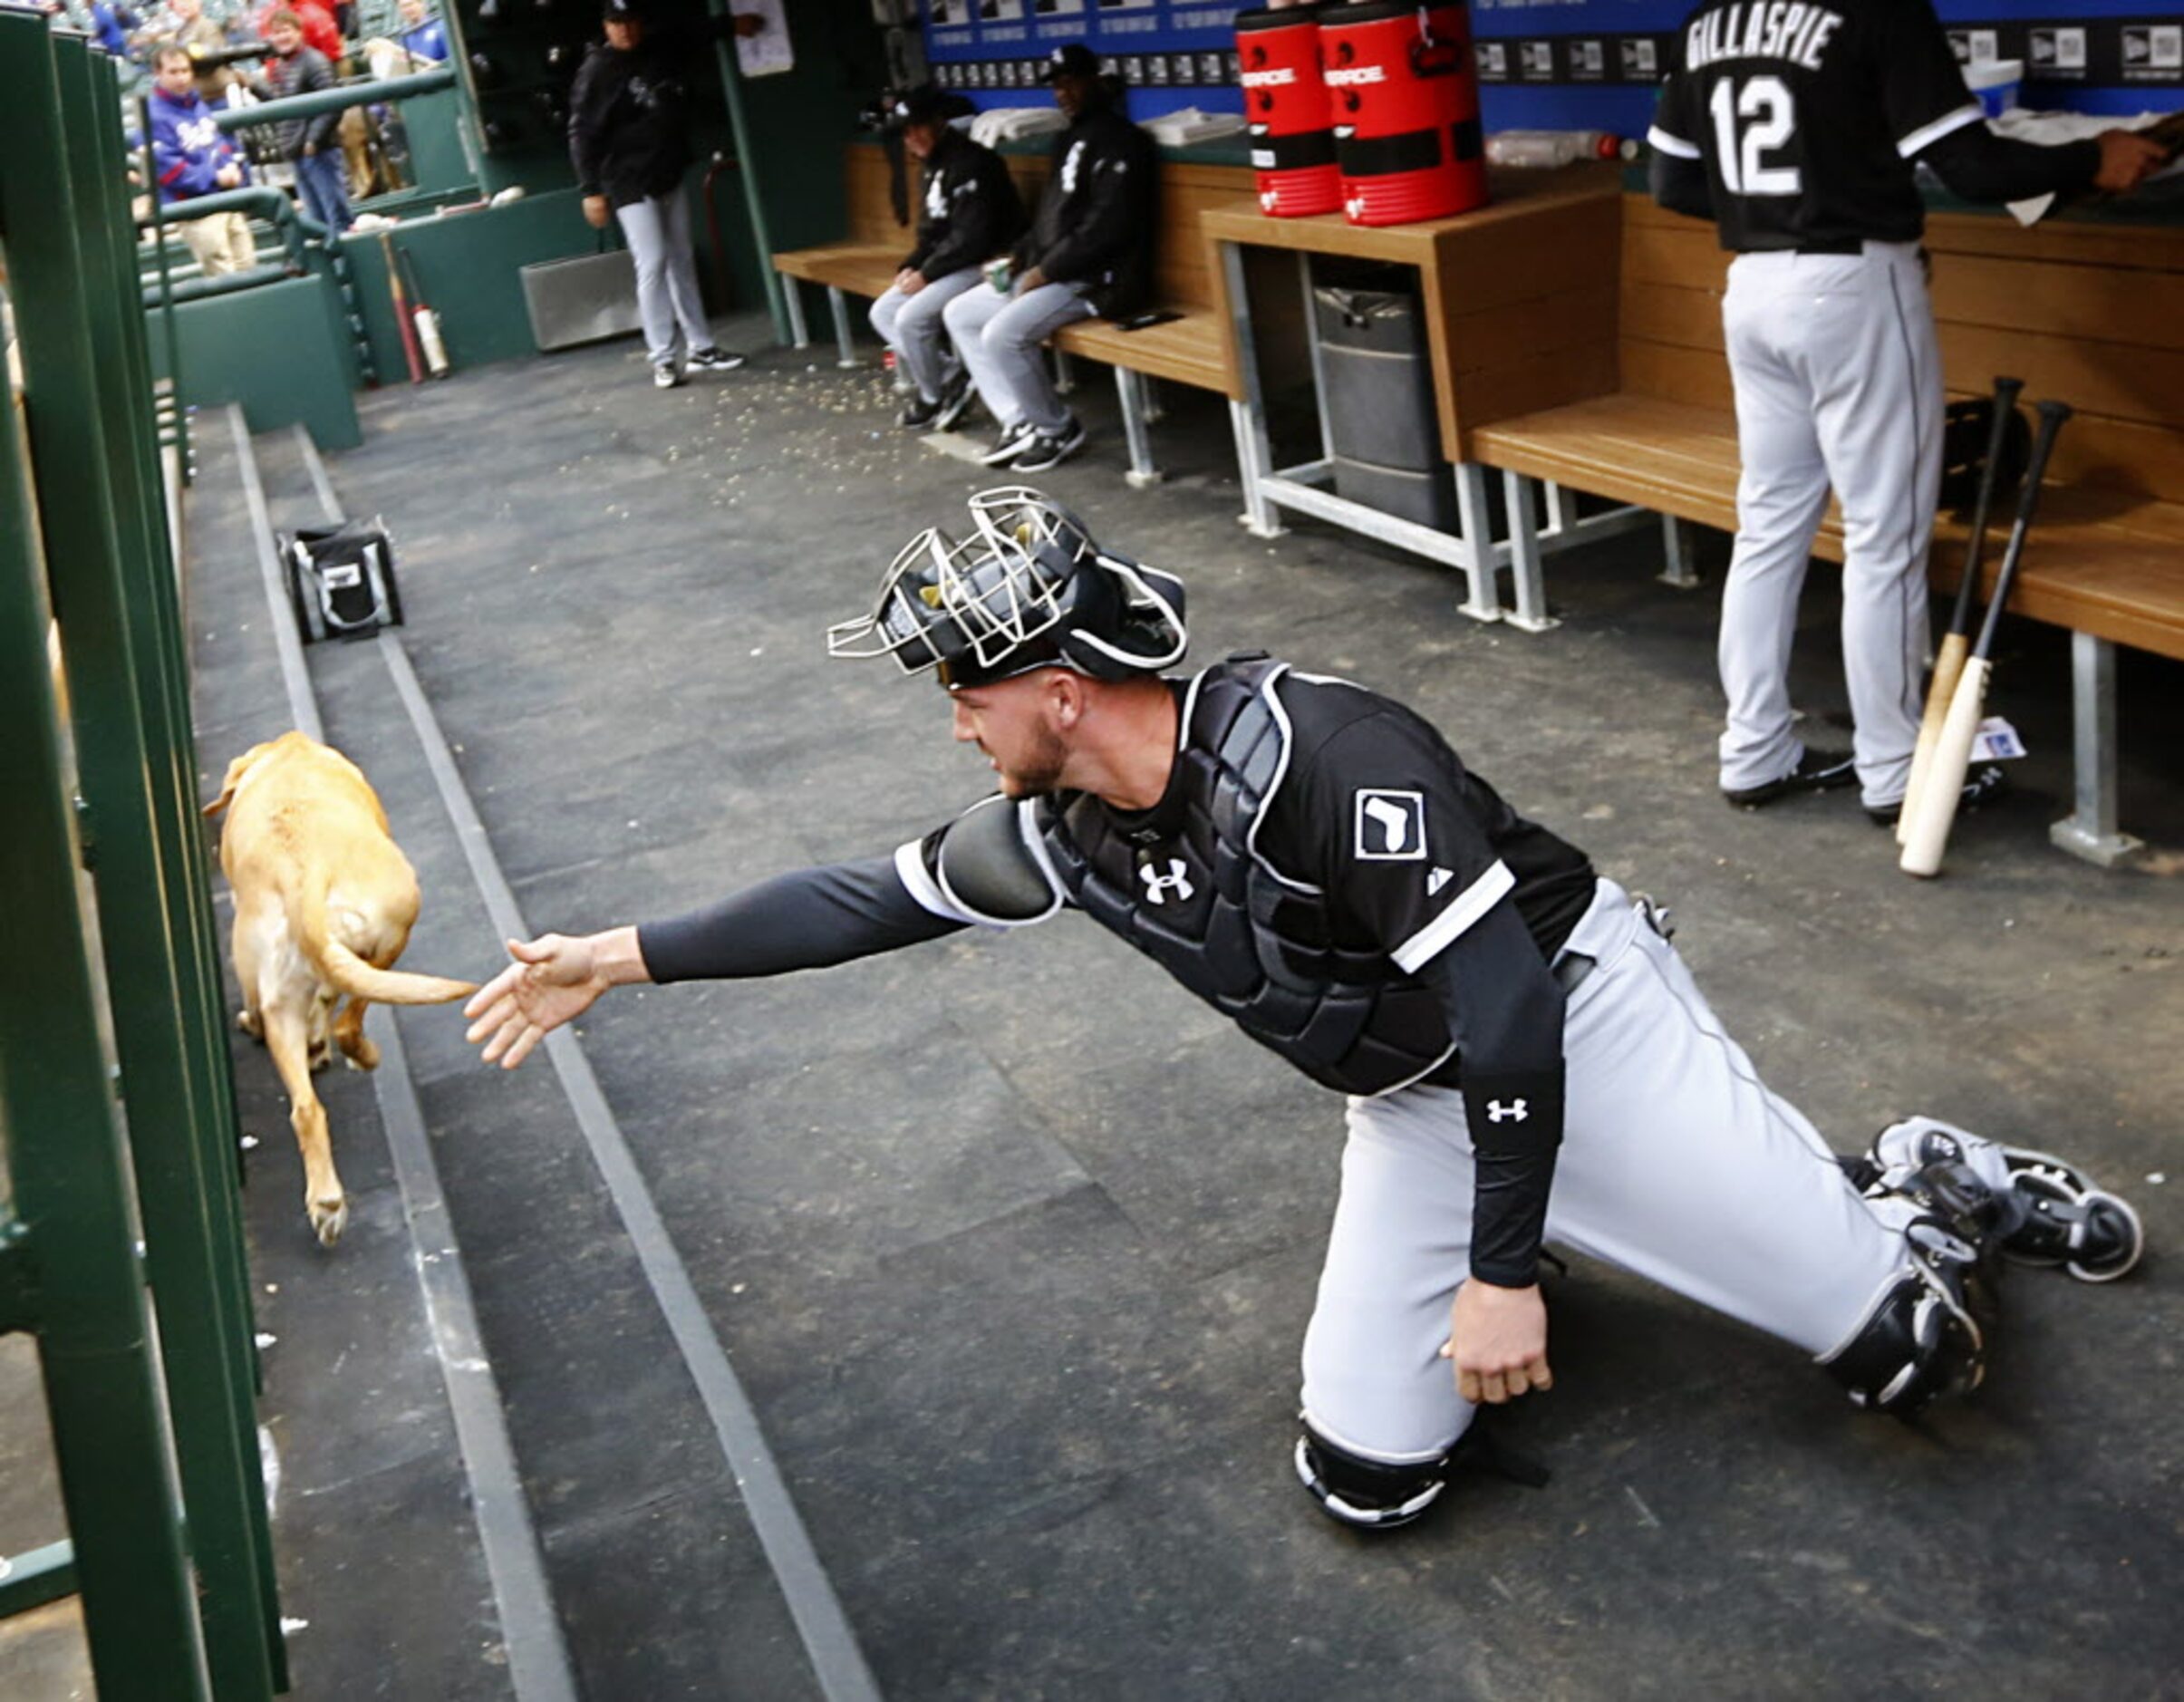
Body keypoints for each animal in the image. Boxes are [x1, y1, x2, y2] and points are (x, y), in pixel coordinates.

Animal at [204, 725, 473, 1241]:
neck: (288, 755)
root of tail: (301, 871)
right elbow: (334, 1000)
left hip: (279, 999)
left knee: (305, 1108)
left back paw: (326, 1202)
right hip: (396, 930)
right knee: (351, 1019)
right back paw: (361, 1054)